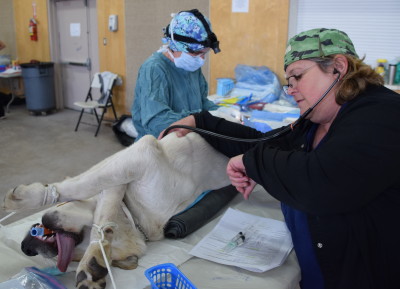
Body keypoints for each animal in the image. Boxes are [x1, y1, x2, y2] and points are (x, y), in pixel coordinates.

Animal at [2, 133, 231, 288]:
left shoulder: (137, 156)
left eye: (75, 255)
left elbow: (92, 196)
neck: (137, 218)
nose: (25, 248)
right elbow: (93, 191)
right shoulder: (131, 160)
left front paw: (94, 258)